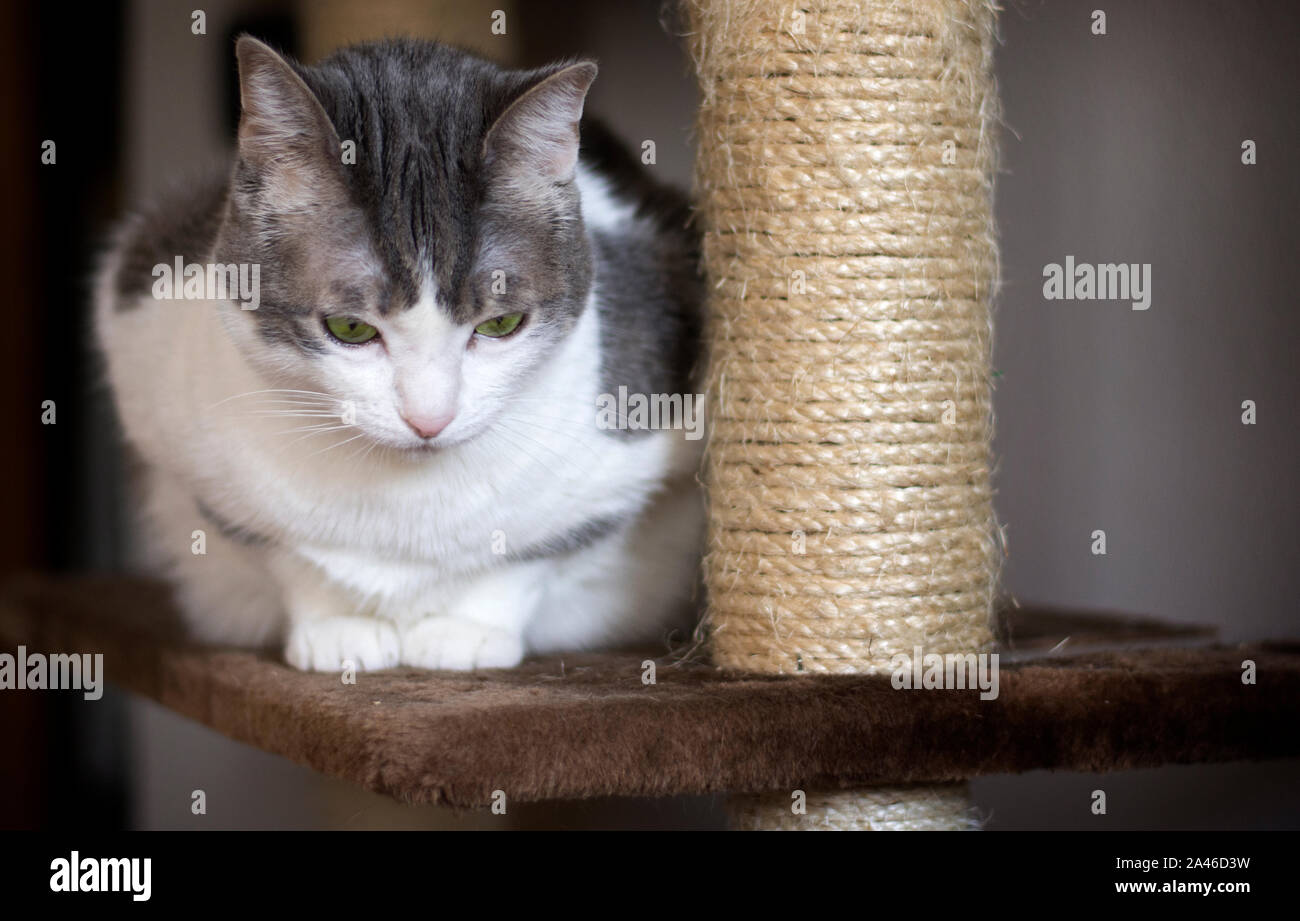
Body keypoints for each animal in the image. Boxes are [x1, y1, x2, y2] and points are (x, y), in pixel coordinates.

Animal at [94, 37, 707, 671]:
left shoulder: (614, 472)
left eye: (502, 323)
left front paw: (465, 632)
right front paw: (339, 628)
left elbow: (533, 555)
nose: (429, 419)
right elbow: (287, 554)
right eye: (349, 328)